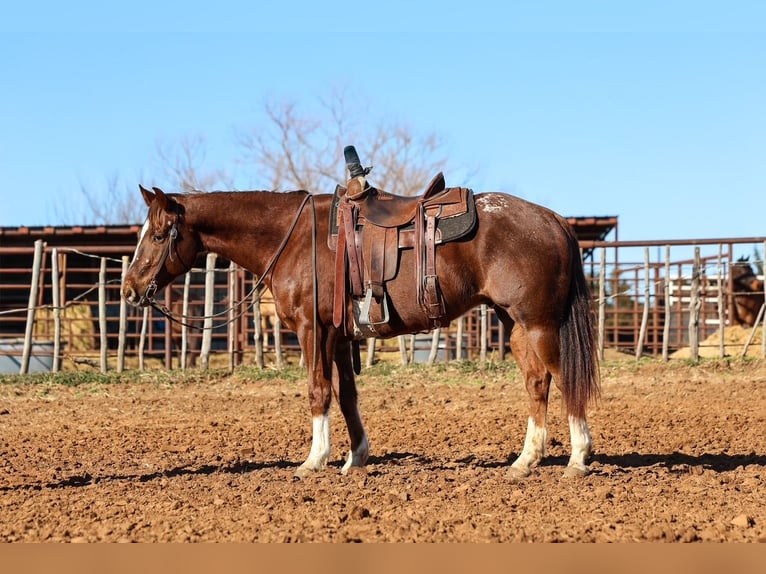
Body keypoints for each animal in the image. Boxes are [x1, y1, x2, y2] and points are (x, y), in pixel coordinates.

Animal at [122, 179, 600, 480]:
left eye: (159, 235)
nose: (129, 289)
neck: (293, 239)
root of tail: (554, 220)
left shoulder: (312, 332)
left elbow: (318, 391)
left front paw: (314, 460)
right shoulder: (338, 337)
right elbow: (347, 395)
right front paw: (356, 459)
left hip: (540, 324)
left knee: (563, 380)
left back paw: (577, 459)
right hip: (515, 325)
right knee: (537, 382)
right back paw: (525, 461)